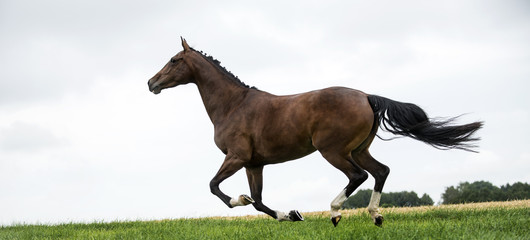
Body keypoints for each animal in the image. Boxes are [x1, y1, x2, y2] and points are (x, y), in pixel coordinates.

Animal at [146, 38, 480, 227]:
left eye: (174, 60)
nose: (151, 83)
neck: (233, 105)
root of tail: (367, 96)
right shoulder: (254, 164)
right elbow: (259, 201)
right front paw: (291, 215)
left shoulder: (236, 157)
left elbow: (216, 187)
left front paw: (239, 199)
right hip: (359, 149)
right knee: (381, 171)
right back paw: (375, 216)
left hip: (333, 151)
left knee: (358, 176)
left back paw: (335, 213)